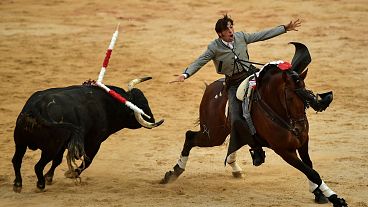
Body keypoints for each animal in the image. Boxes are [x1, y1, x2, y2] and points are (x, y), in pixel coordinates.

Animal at [11, 77, 162, 192]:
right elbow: (87, 161)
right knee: (37, 166)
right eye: (143, 106)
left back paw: (18, 184)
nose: (152, 119)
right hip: (50, 148)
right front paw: (71, 174)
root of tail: (37, 108)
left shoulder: (63, 145)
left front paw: (50, 177)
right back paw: (40, 184)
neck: (108, 104)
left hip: (21, 142)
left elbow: (57, 161)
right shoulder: (94, 142)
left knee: (17, 160)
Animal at [161, 42, 348, 207]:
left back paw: (235, 168)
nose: (299, 128)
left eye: (307, 96)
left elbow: (309, 165)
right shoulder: (284, 150)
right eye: (289, 98)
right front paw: (336, 198)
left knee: (229, 141)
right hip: (213, 134)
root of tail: (209, 89)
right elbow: (311, 171)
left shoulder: (303, 142)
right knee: (190, 136)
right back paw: (173, 173)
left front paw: (318, 193)